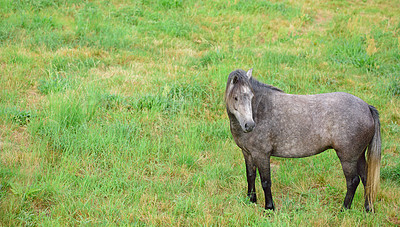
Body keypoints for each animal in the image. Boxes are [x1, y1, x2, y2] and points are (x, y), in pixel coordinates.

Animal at [225, 68, 382, 212]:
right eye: (236, 98)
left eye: (251, 97)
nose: (249, 125)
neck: (260, 110)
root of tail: (367, 107)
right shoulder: (247, 153)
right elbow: (250, 176)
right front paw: (251, 200)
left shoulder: (262, 155)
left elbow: (265, 181)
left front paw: (269, 208)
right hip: (358, 155)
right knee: (366, 178)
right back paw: (368, 208)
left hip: (348, 158)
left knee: (352, 181)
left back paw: (344, 209)